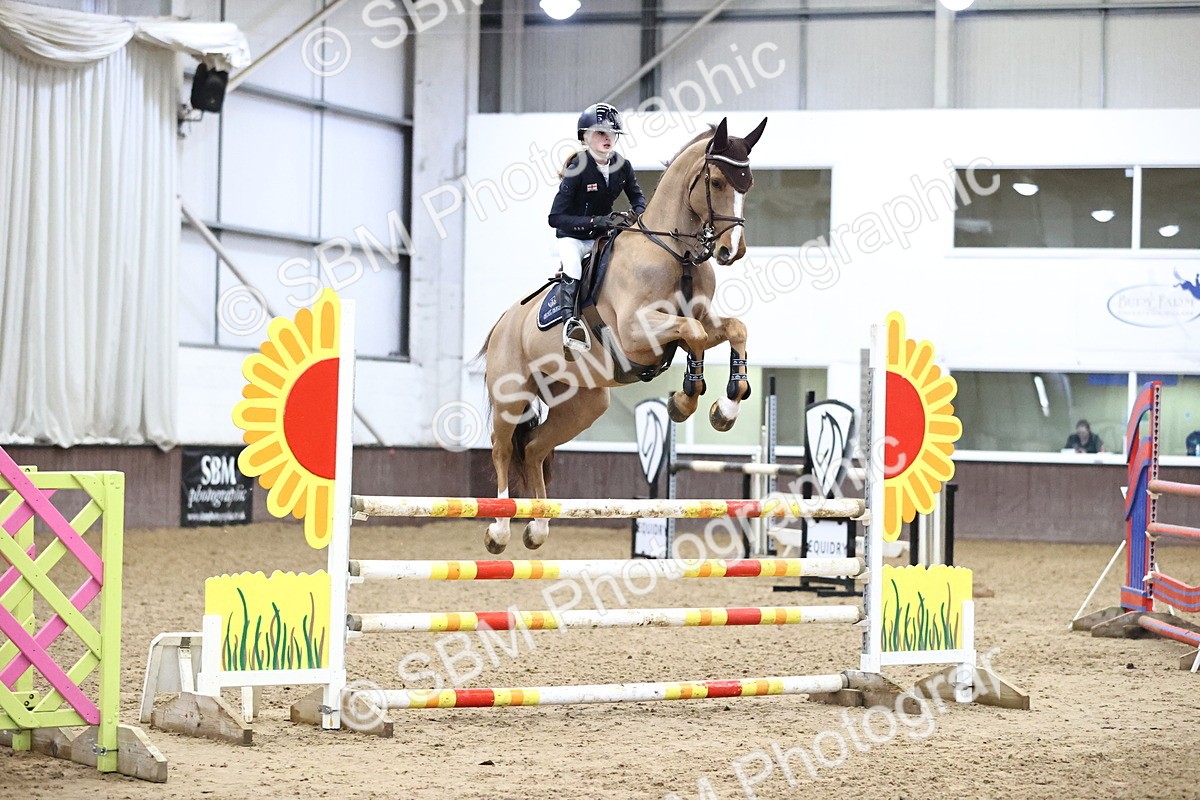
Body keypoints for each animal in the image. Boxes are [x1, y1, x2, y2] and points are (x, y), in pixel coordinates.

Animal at [478, 117, 768, 554]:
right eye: (717, 182)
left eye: (747, 184)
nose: (732, 251)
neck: (676, 255)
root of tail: (502, 322)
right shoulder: (636, 333)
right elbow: (695, 335)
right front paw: (684, 401)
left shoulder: (697, 318)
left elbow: (730, 329)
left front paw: (724, 408)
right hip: (511, 394)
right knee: (501, 447)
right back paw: (498, 528)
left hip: (584, 402)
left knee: (533, 447)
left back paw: (538, 528)